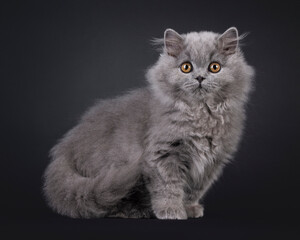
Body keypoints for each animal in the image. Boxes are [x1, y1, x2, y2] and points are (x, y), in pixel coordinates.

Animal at [43, 26, 254, 219]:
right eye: (186, 67)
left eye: (214, 67)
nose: (200, 77)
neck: (200, 113)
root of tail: (65, 149)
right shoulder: (163, 154)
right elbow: (168, 187)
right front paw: (171, 211)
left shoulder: (211, 163)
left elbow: (192, 190)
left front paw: (189, 208)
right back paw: (133, 211)